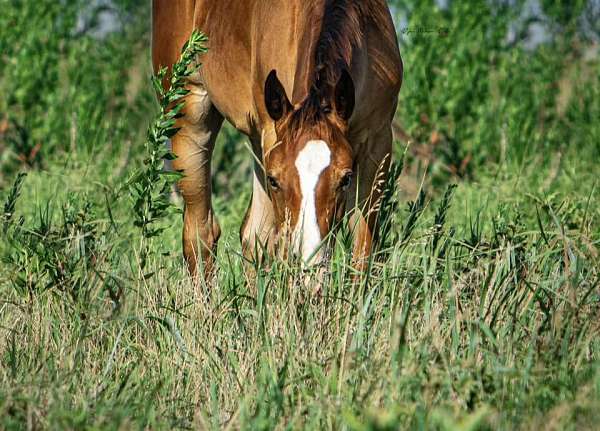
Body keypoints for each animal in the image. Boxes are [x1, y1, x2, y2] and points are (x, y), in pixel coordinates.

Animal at [150, 0, 404, 276]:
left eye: (345, 179)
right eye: (274, 181)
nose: (309, 264)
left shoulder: (377, 142)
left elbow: (363, 248)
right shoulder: (273, 140)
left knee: (253, 234)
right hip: (190, 119)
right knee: (200, 235)